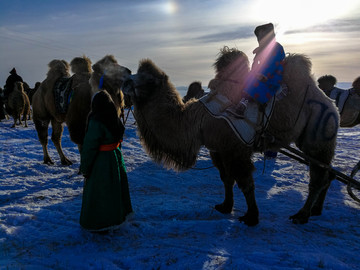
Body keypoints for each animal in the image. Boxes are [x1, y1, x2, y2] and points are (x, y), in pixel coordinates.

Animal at [122, 49, 338, 227]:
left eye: (149, 80)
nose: (125, 81)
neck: (197, 122)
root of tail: (330, 101)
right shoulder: (217, 149)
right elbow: (226, 179)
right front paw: (225, 206)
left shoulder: (235, 149)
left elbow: (245, 183)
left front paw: (251, 217)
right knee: (328, 173)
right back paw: (316, 210)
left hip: (318, 135)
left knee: (318, 176)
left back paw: (302, 215)